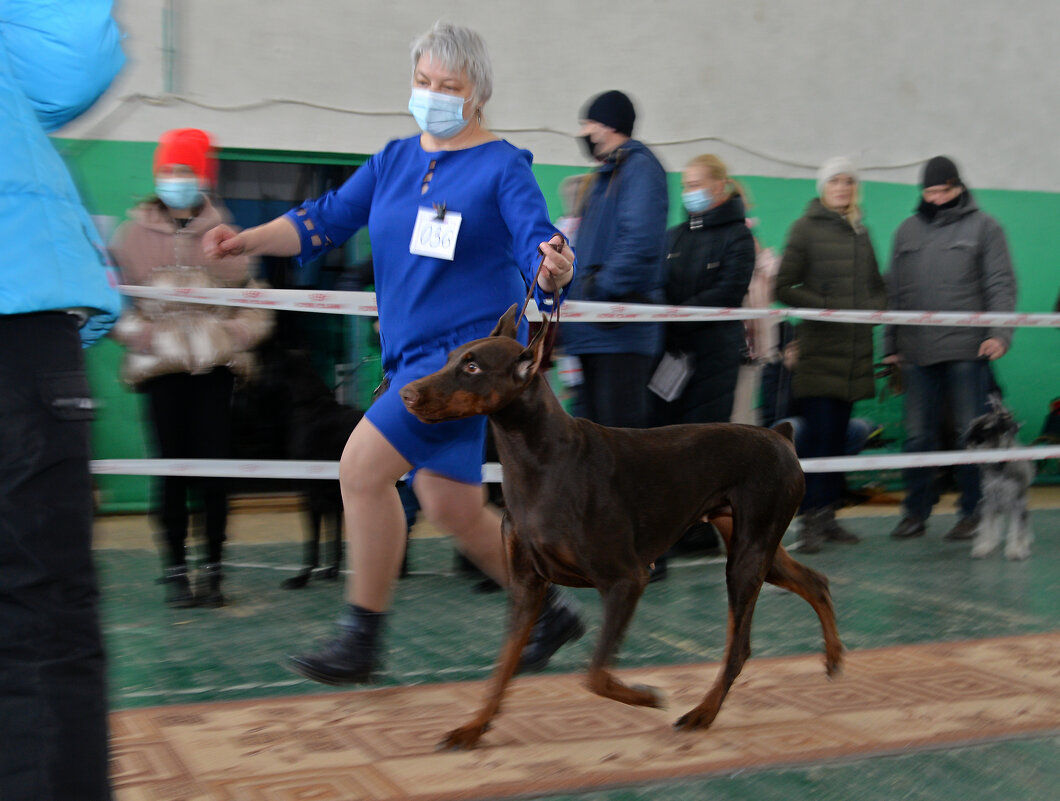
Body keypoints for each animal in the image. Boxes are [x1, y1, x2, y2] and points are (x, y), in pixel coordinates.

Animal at [398, 305, 843, 750]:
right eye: (450, 358)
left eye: (472, 367)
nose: (406, 394)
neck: (538, 461)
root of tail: (781, 437)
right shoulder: (526, 585)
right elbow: (502, 669)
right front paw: (474, 726)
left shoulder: (625, 579)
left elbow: (594, 674)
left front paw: (646, 696)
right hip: (752, 542)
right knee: (815, 581)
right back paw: (834, 657)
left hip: (747, 556)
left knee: (740, 647)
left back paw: (702, 713)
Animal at [966, 396, 1030, 559]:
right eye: (975, 424)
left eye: (987, 429)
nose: (969, 440)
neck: (999, 467)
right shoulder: (989, 501)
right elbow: (987, 526)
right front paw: (984, 546)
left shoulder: (1016, 502)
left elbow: (1017, 527)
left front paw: (1016, 550)